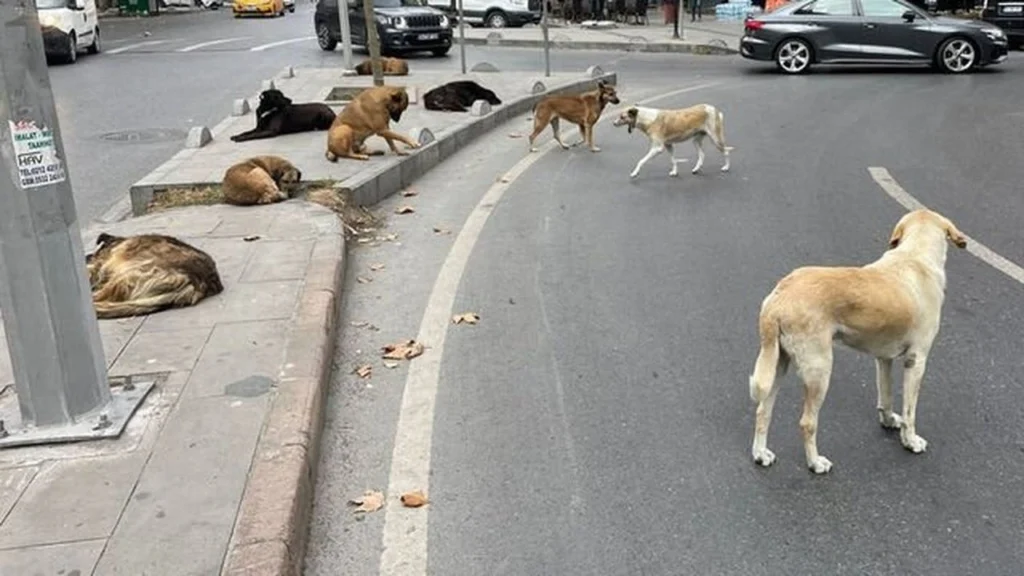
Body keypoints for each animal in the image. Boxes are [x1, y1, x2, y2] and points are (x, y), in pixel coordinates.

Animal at [749, 208, 962, 473]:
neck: (915, 256)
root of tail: (779, 297)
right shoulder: (917, 360)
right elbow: (910, 412)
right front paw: (910, 441)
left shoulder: (883, 359)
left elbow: (886, 396)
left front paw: (889, 421)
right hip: (819, 371)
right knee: (807, 423)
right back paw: (815, 463)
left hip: (777, 365)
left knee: (762, 411)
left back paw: (760, 454)